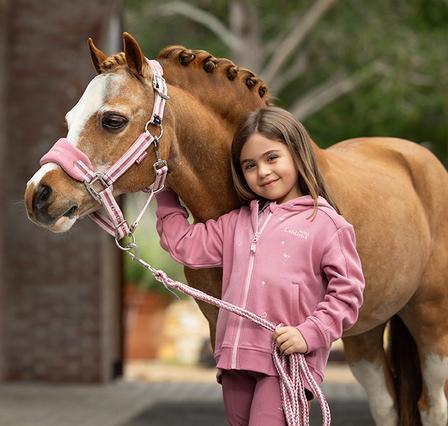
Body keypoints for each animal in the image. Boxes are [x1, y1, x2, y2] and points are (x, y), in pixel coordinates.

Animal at [25, 33, 448, 426]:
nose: (38, 195)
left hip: (430, 325)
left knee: (432, 406)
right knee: (387, 405)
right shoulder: (220, 333)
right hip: (365, 337)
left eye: (112, 120)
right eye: (70, 119)